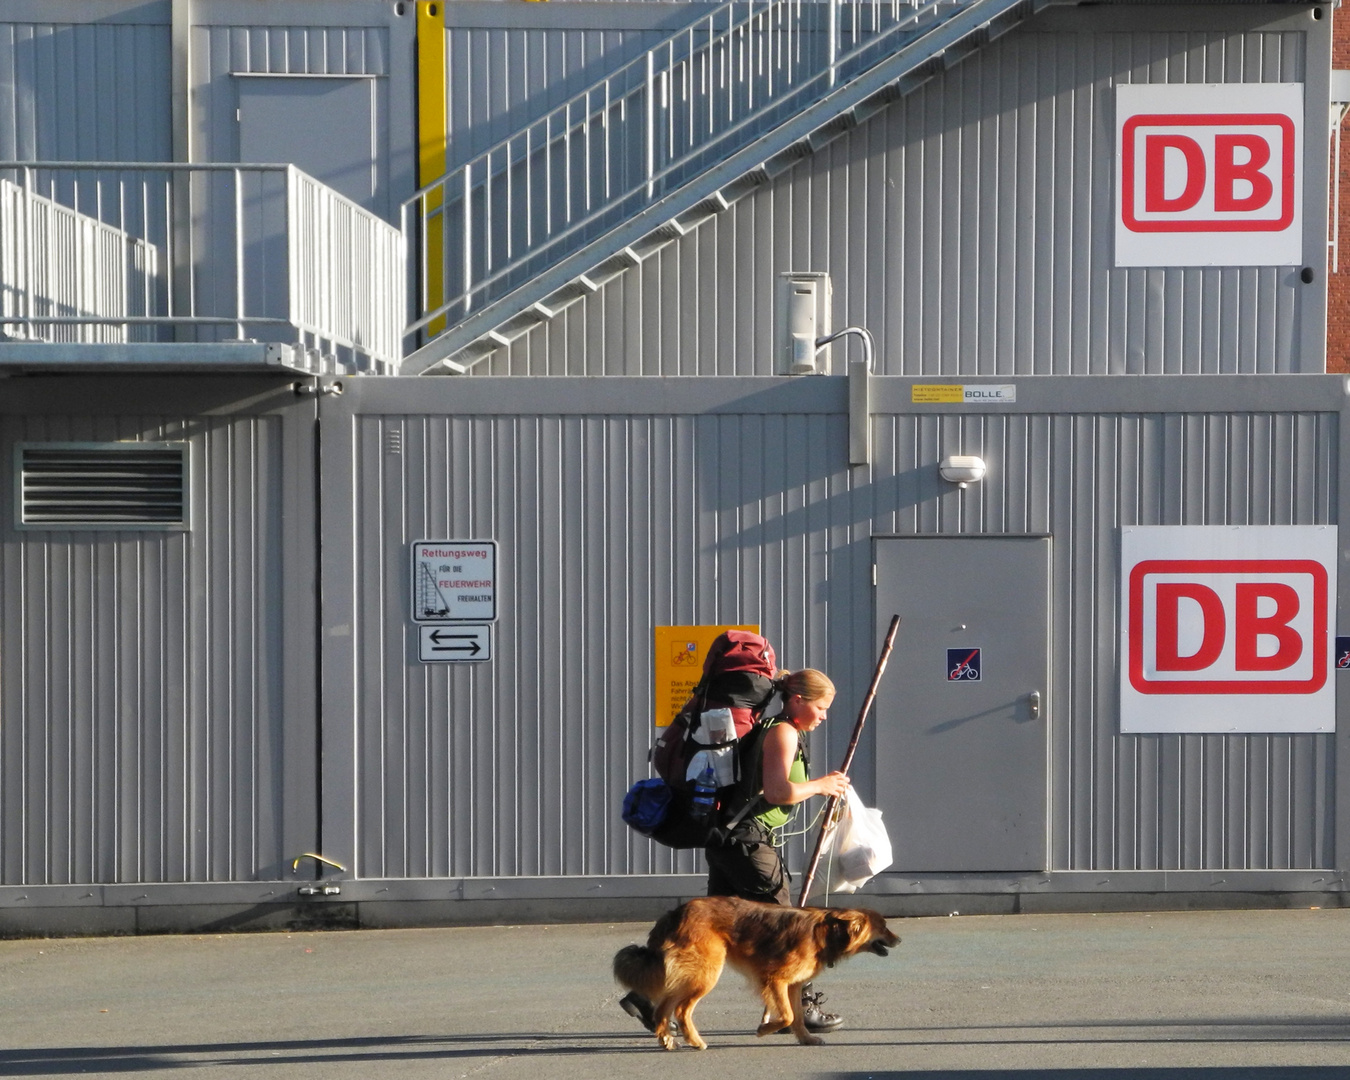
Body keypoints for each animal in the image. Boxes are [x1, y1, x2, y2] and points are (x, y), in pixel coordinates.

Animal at [618, 896, 901, 1047]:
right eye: (884, 926)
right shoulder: (775, 979)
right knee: (681, 1009)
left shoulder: (793, 984)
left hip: (690, 974)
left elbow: (797, 1016)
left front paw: (806, 1038)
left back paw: (667, 1039)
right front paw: (765, 1029)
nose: (899, 940)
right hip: (706, 972)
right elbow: (787, 1015)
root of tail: (675, 913)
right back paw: (695, 1041)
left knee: (664, 1008)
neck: (826, 932)